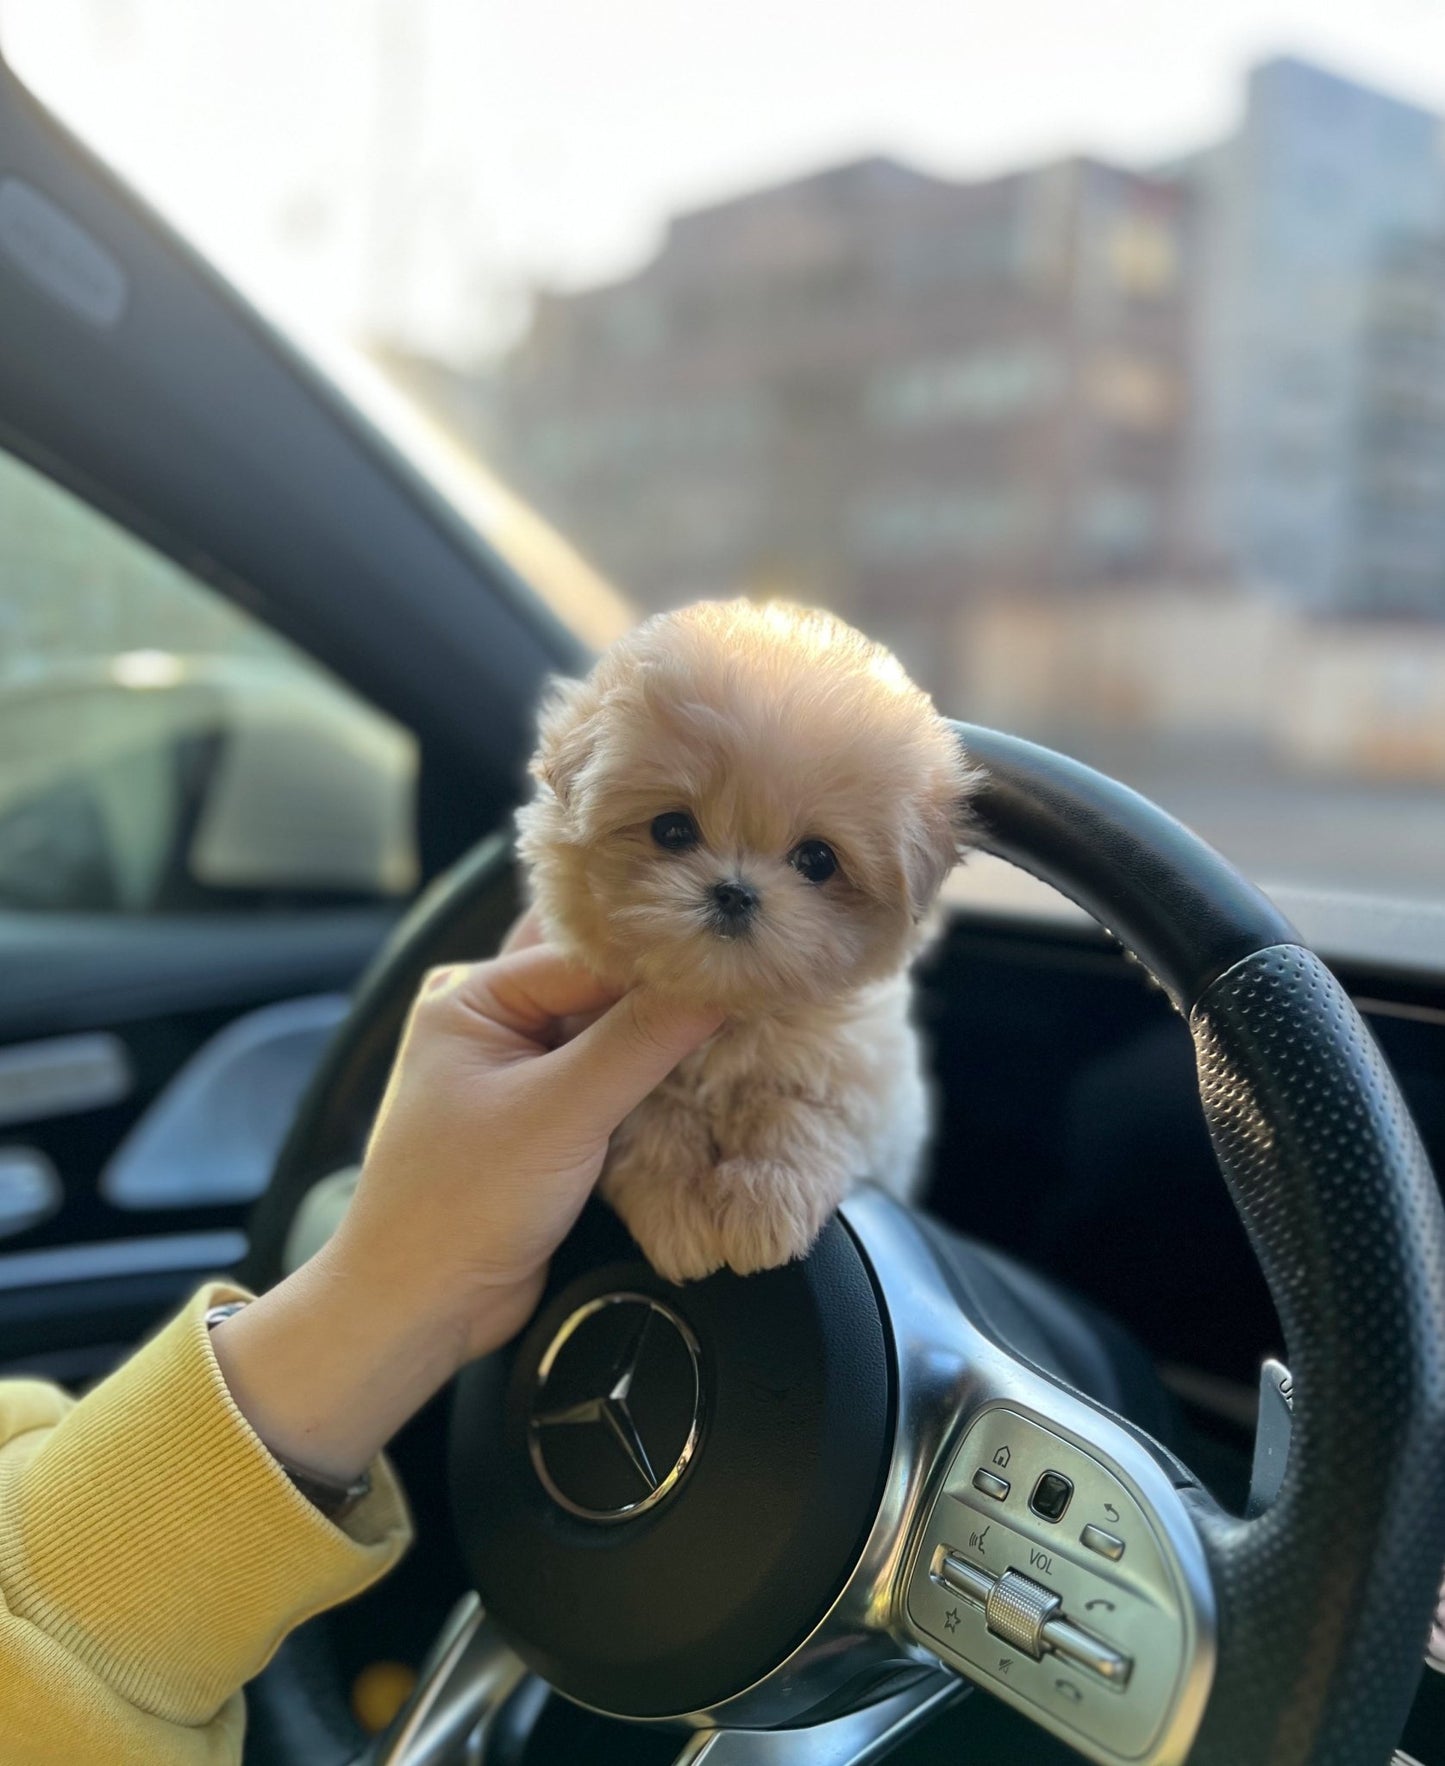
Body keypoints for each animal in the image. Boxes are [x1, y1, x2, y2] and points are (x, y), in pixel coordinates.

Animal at [512, 600, 975, 1278]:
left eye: (817, 859)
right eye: (671, 829)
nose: (733, 892)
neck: (731, 1010)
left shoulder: (861, 1080)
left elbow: (796, 1114)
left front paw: (763, 1203)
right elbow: (652, 1125)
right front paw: (677, 1210)